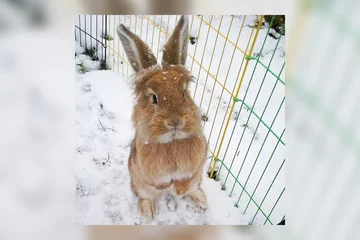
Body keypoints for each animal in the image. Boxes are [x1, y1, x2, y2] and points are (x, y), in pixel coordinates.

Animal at [117, 15, 208, 221]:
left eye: (184, 93)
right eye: (154, 98)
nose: (175, 122)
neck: (172, 141)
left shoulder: (197, 166)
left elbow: (187, 180)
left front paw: (179, 191)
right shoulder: (146, 171)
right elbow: (160, 184)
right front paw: (170, 188)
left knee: (195, 188)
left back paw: (201, 200)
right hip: (137, 184)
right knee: (144, 196)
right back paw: (148, 213)